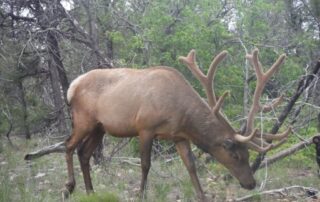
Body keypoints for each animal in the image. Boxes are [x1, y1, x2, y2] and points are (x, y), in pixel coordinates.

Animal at [63, 48, 292, 200]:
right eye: (235, 155)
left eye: (248, 154)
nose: (251, 183)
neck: (181, 115)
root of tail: (71, 87)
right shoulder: (145, 128)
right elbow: (145, 164)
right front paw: (141, 194)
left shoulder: (179, 136)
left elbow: (191, 165)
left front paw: (202, 196)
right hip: (83, 119)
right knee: (68, 145)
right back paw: (69, 187)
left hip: (99, 127)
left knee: (84, 153)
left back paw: (90, 191)